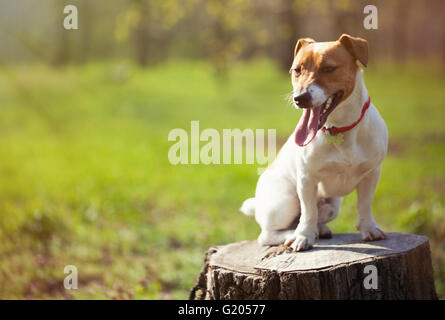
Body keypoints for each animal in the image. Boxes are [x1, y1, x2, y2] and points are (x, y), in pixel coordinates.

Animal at [241, 33, 386, 251]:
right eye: (297, 70)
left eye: (328, 68)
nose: (300, 98)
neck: (338, 129)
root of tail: (258, 203)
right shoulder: (307, 179)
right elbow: (308, 212)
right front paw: (303, 237)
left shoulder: (372, 173)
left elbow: (364, 205)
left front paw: (369, 229)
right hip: (285, 202)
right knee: (269, 234)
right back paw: (294, 234)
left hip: (332, 206)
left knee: (313, 218)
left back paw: (321, 230)